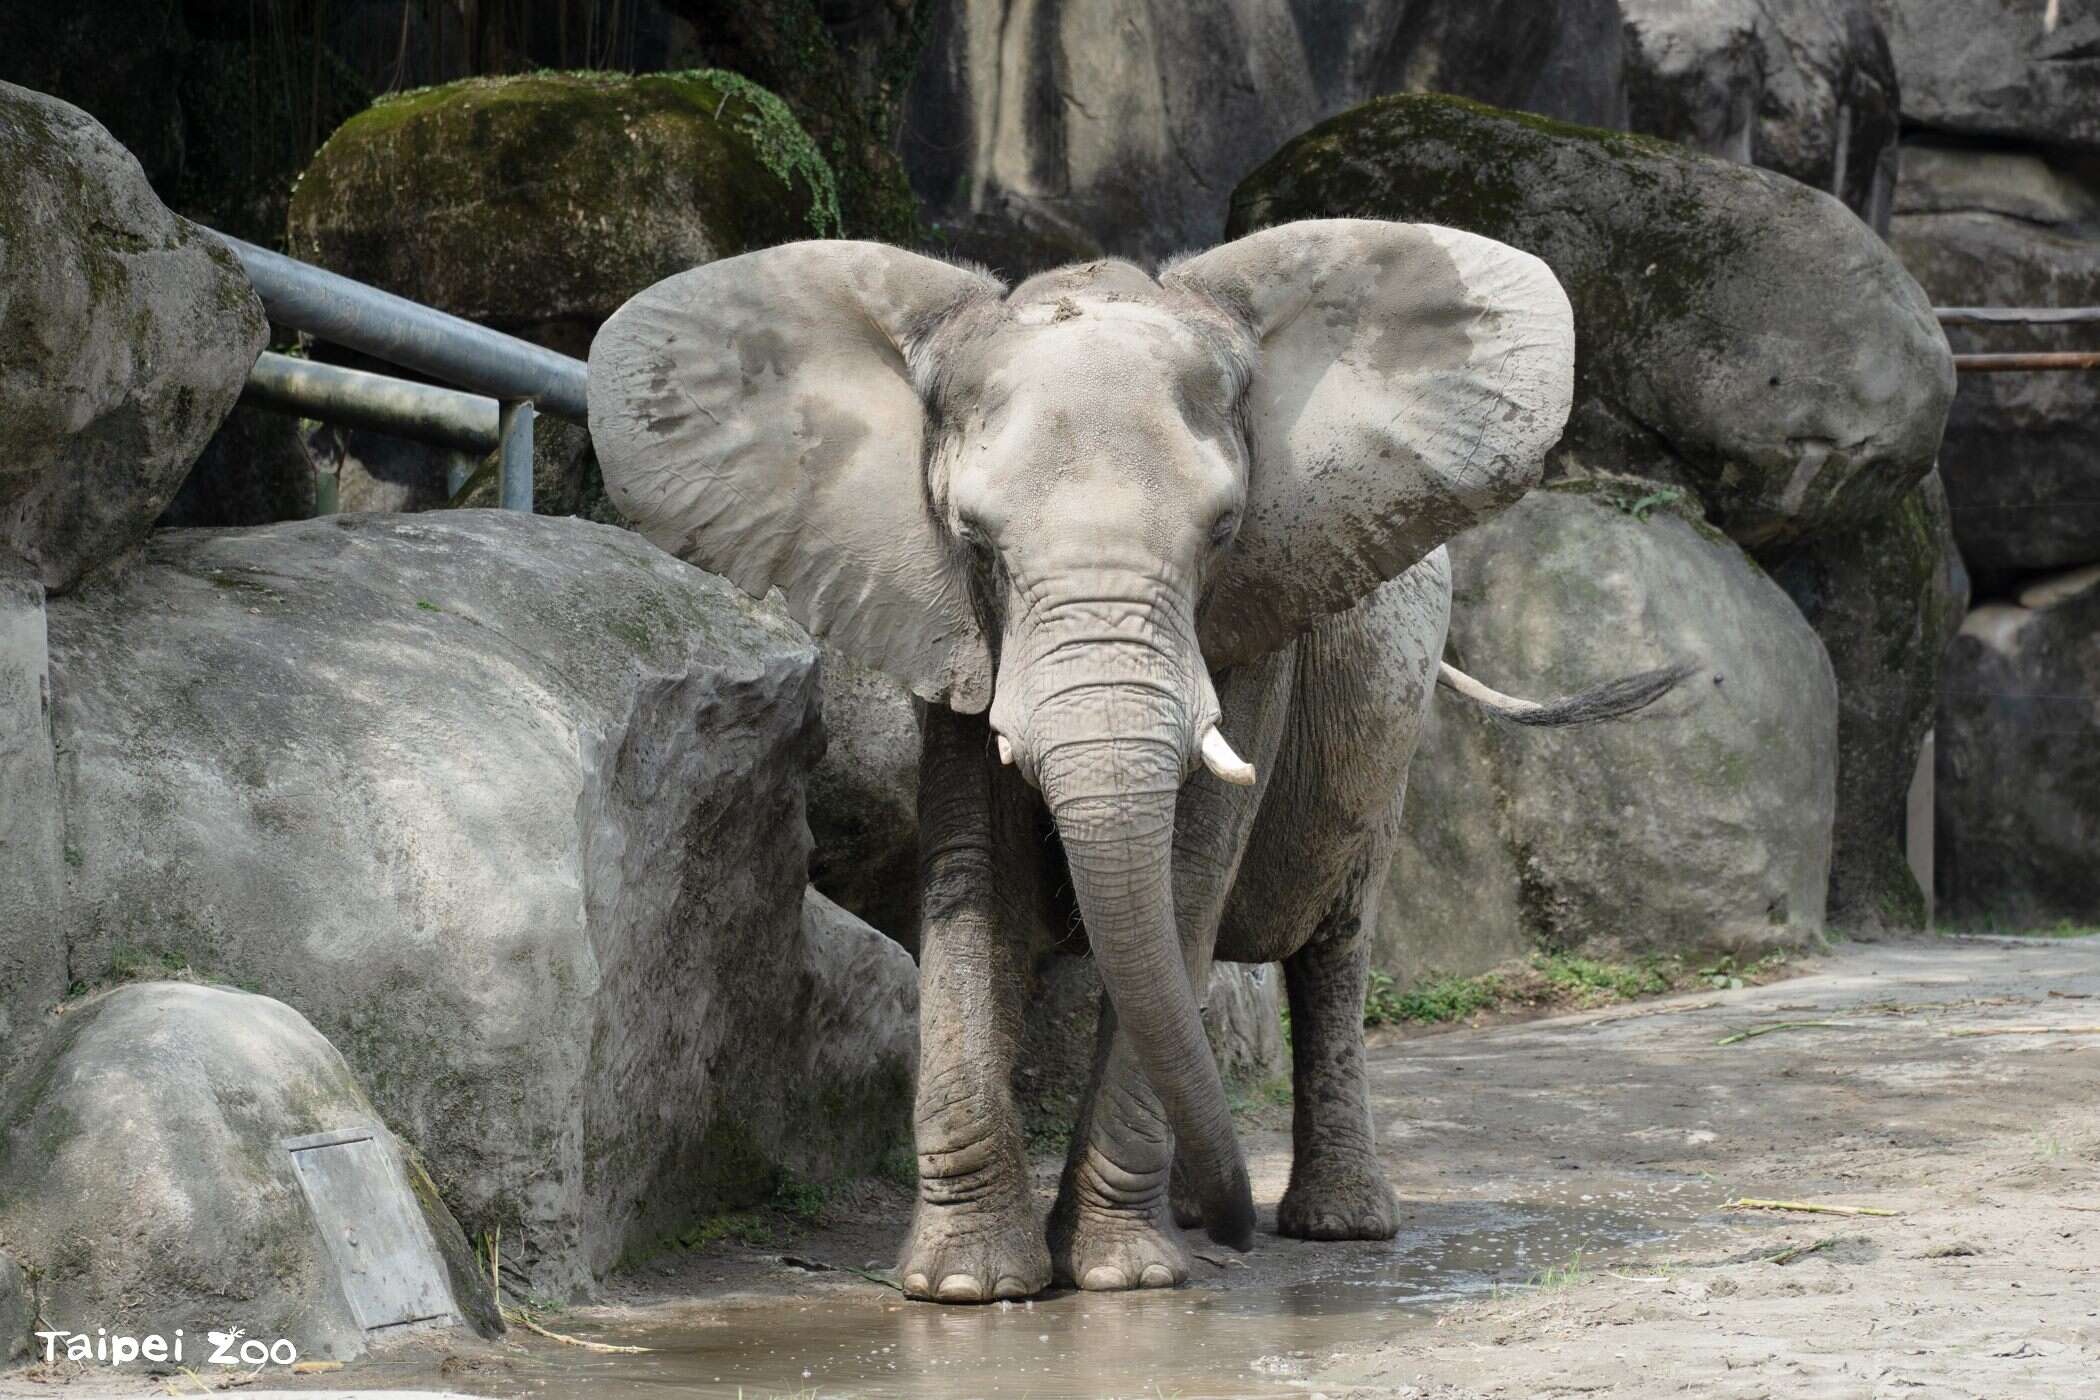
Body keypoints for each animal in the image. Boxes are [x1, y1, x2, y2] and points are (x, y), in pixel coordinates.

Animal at [587, 219, 1684, 1304]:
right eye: (974, 543)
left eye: (1225, 532)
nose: (1240, 1229)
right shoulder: (948, 625)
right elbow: (978, 874)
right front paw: (968, 1287)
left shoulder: (1260, 617)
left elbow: (1190, 867)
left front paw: (1121, 1275)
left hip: (1389, 721)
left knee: (1332, 939)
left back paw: (1334, 1224)